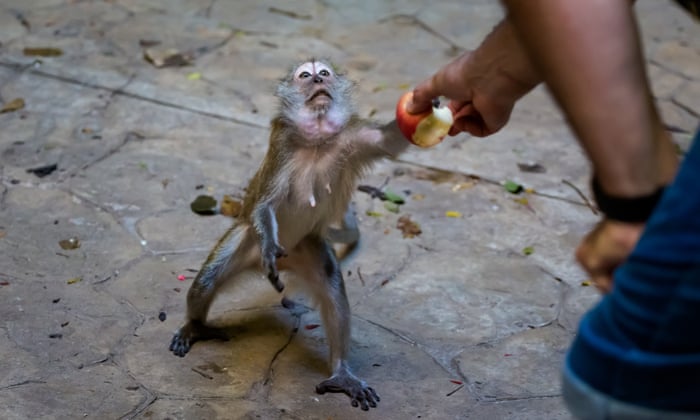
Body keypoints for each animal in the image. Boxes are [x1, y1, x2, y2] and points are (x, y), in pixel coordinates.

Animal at [169, 59, 409, 410]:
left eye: (324, 73)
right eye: (305, 76)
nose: (318, 82)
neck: (317, 139)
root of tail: (289, 260)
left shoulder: (352, 135)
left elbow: (391, 141)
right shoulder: (282, 144)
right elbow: (266, 202)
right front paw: (270, 246)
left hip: (307, 245)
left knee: (331, 284)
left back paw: (341, 373)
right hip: (247, 237)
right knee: (207, 279)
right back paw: (196, 325)